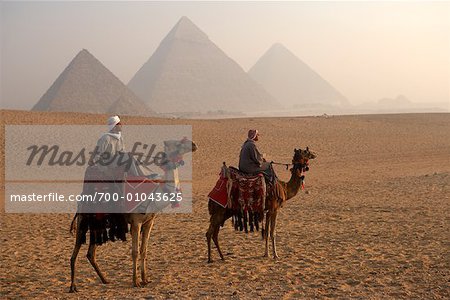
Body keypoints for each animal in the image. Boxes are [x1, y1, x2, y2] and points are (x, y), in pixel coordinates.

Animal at [69, 138, 197, 290]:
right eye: (178, 143)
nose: (194, 145)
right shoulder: (136, 222)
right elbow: (135, 252)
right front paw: (135, 282)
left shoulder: (149, 222)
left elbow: (144, 250)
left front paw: (145, 279)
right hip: (84, 220)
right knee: (76, 249)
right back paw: (73, 286)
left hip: (97, 224)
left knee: (90, 253)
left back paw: (105, 280)